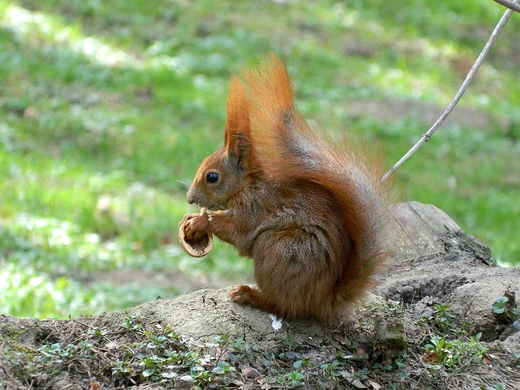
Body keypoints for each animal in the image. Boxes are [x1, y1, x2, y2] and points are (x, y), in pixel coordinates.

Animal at [181, 54, 388, 322]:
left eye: (212, 177)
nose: (190, 198)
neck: (248, 185)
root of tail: (323, 300)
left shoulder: (255, 207)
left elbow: (236, 231)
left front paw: (200, 222)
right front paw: (189, 218)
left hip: (277, 250)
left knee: (286, 307)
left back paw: (251, 295)